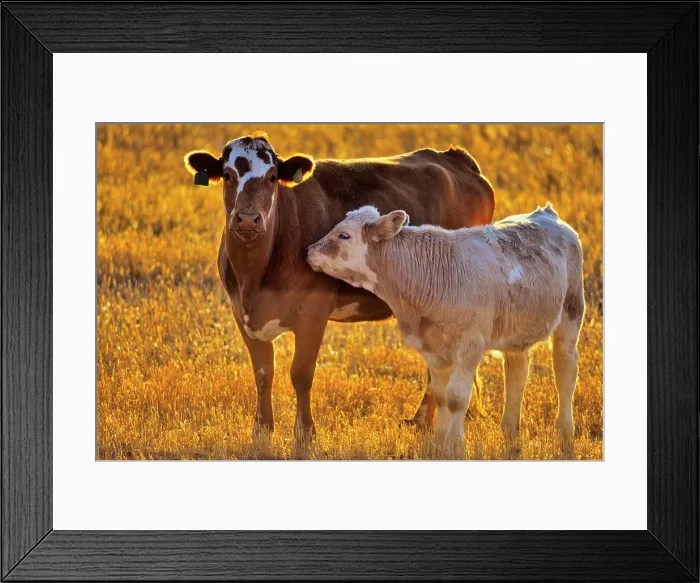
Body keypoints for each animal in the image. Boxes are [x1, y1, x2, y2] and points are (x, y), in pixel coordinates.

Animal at [184, 132, 495, 442]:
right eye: (227, 175)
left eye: (272, 177)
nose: (248, 218)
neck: (255, 276)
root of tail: (453, 157)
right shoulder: (241, 311)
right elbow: (263, 372)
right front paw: (261, 430)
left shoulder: (314, 310)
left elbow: (301, 373)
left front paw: (305, 433)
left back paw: (425, 420)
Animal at [306, 203, 584, 457]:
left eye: (344, 235)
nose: (308, 251)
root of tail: (547, 214)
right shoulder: (431, 346)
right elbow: (440, 396)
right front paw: (439, 440)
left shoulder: (470, 344)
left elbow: (456, 397)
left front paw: (455, 445)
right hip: (517, 333)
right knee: (517, 374)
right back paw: (510, 434)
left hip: (572, 311)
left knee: (565, 369)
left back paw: (565, 434)